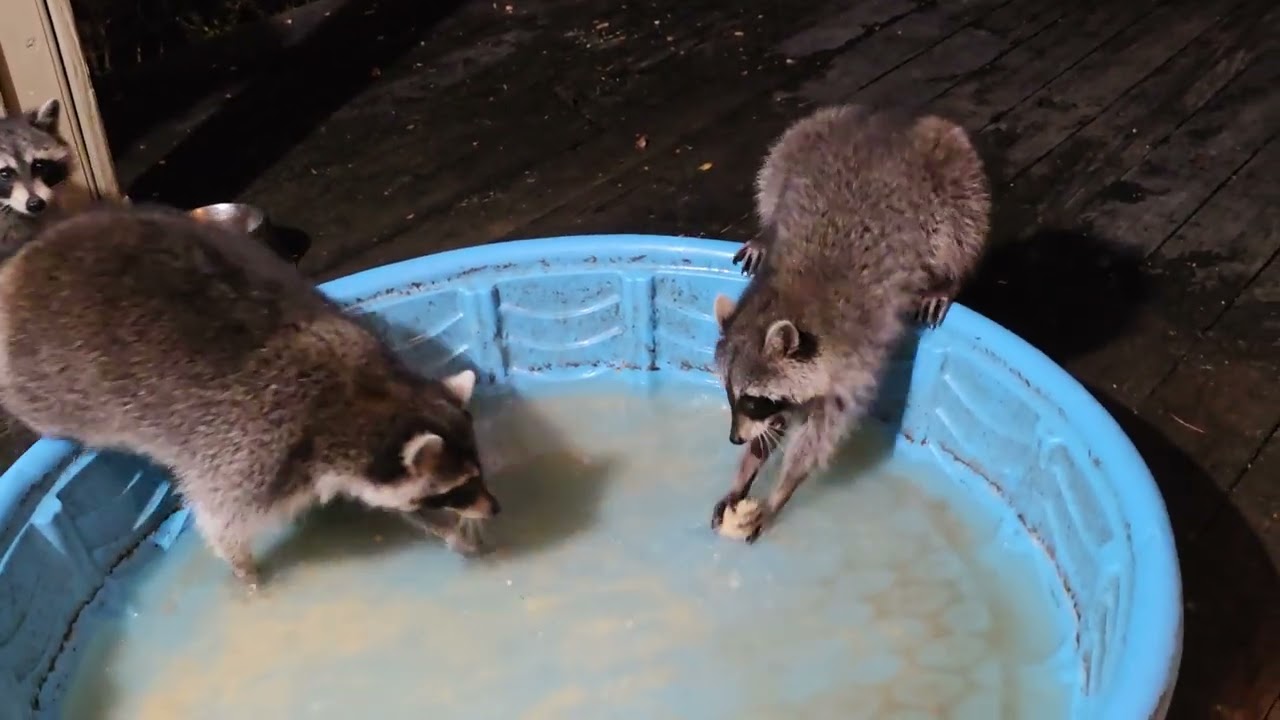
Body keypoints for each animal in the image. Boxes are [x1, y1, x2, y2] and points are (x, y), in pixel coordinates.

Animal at [0, 204, 500, 588]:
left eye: (478, 472)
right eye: (456, 488)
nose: (494, 509)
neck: (364, 395)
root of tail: (28, 261)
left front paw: (449, 531)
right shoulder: (248, 453)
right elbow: (219, 518)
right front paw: (246, 575)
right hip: (47, 380)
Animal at [711, 104, 990, 542]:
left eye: (753, 399)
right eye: (728, 392)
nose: (734, 438)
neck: (779, 303)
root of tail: (892, 120)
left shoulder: (853, 362)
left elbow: (820, 433)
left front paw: (781, 489)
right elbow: (777, 424)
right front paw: (749, 467)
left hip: (954, 173)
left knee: (961, 227)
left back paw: (948, 277)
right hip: (808, 134)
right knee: (774, 176)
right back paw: (765, 231)